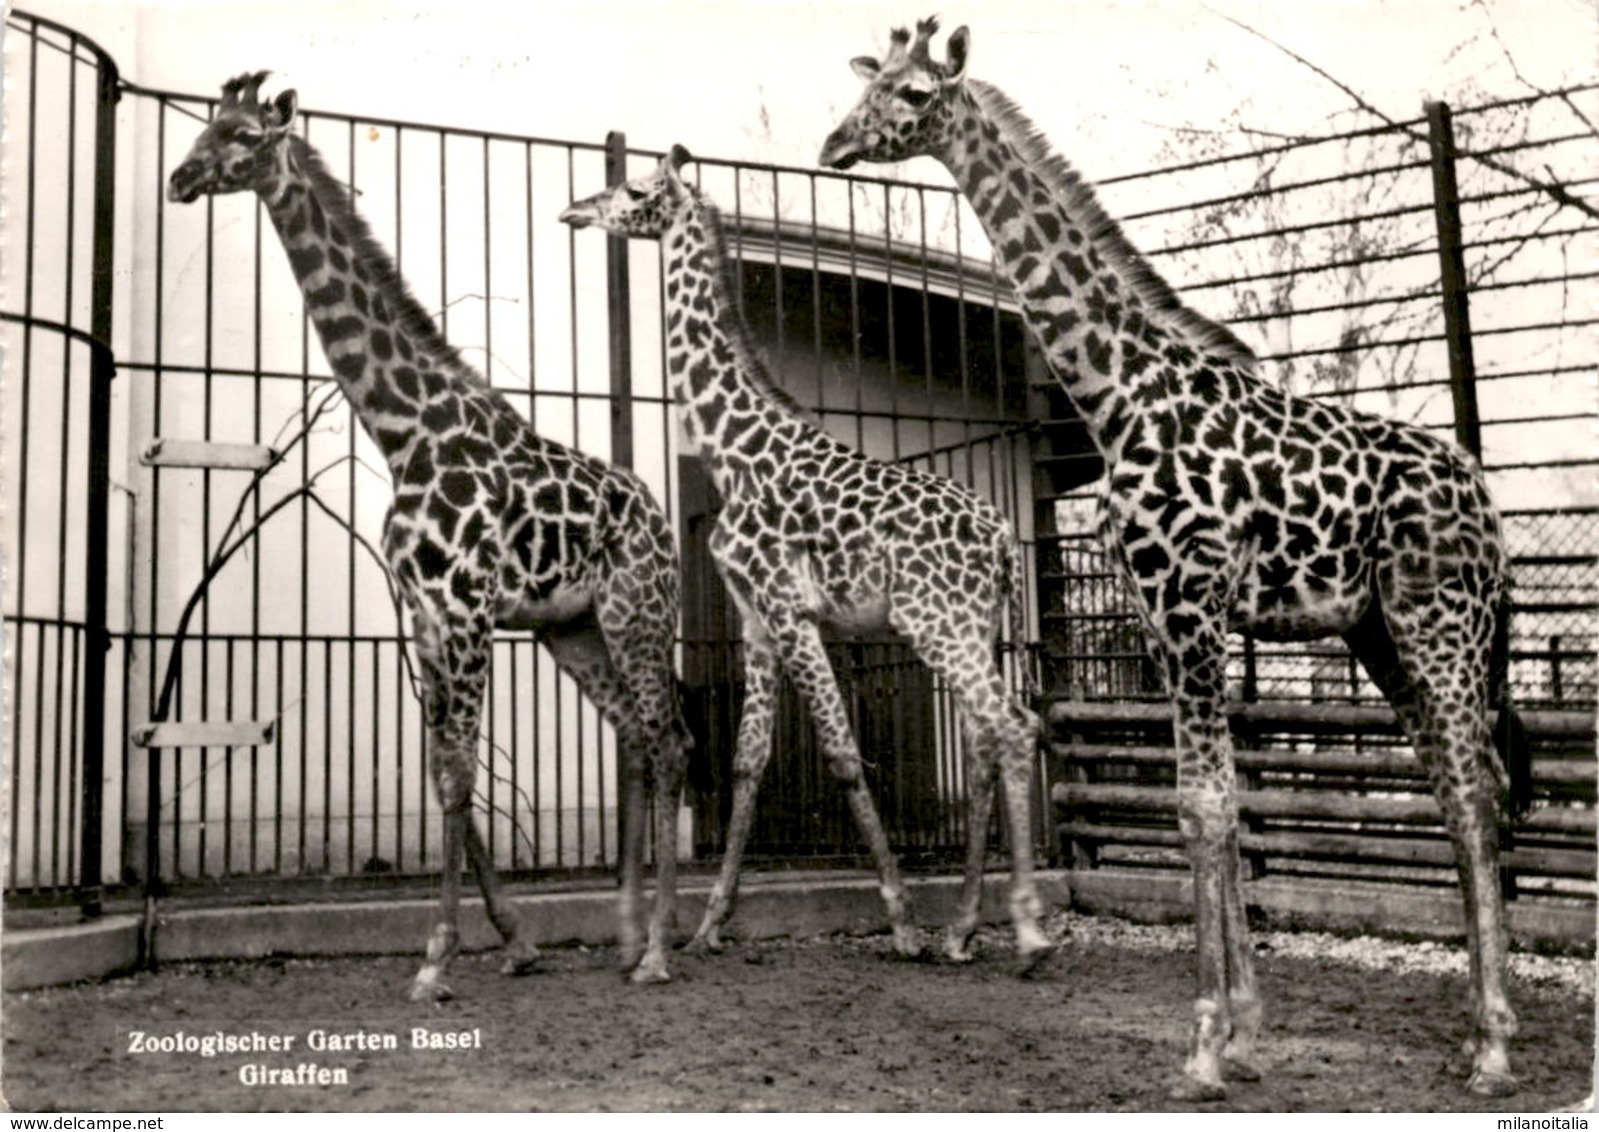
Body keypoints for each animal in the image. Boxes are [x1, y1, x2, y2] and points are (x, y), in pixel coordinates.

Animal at [170, 70, 693, 997]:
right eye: (204, 126)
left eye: (241, 135)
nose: (179, 179)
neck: (404, 431)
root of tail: (661, 520)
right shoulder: (421, 611)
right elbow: (437, 768)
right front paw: (509, 941)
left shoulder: (465, 608)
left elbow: (458, 773)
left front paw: (438, 959)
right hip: (573, 629)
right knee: (634, 736)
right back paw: (630, 936)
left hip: (637, 614)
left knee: (668, 742)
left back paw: (662, 951)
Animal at [556, 146, 1055, 965]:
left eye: (631, 189)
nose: (573, 210)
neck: (732, 451)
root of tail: (1004, 543)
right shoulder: (756, 618)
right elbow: (748, 760)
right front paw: (709, 924)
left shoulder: (791, 609)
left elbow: (844, 754)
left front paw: (899, 920)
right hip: (971, 629)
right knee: (987, 740)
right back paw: (962, 928)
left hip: (936, 625)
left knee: (1012, 727)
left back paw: (1023, 933)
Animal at [818, 15, 1528, 1093]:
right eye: (868, 86)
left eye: (911, 96)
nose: (834, 146)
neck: (1118, 393)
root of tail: (1486, 503)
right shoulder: (1163, 619)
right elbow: (1217, 802)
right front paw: (1244, 1030)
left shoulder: (1191, 605)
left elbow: (1200, 803)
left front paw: (1202, 1044)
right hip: (1379, 634)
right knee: (1456, 784)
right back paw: (1473, 1030)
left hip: (1438, 623)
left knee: (1476, 782)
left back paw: (1492, 1043)